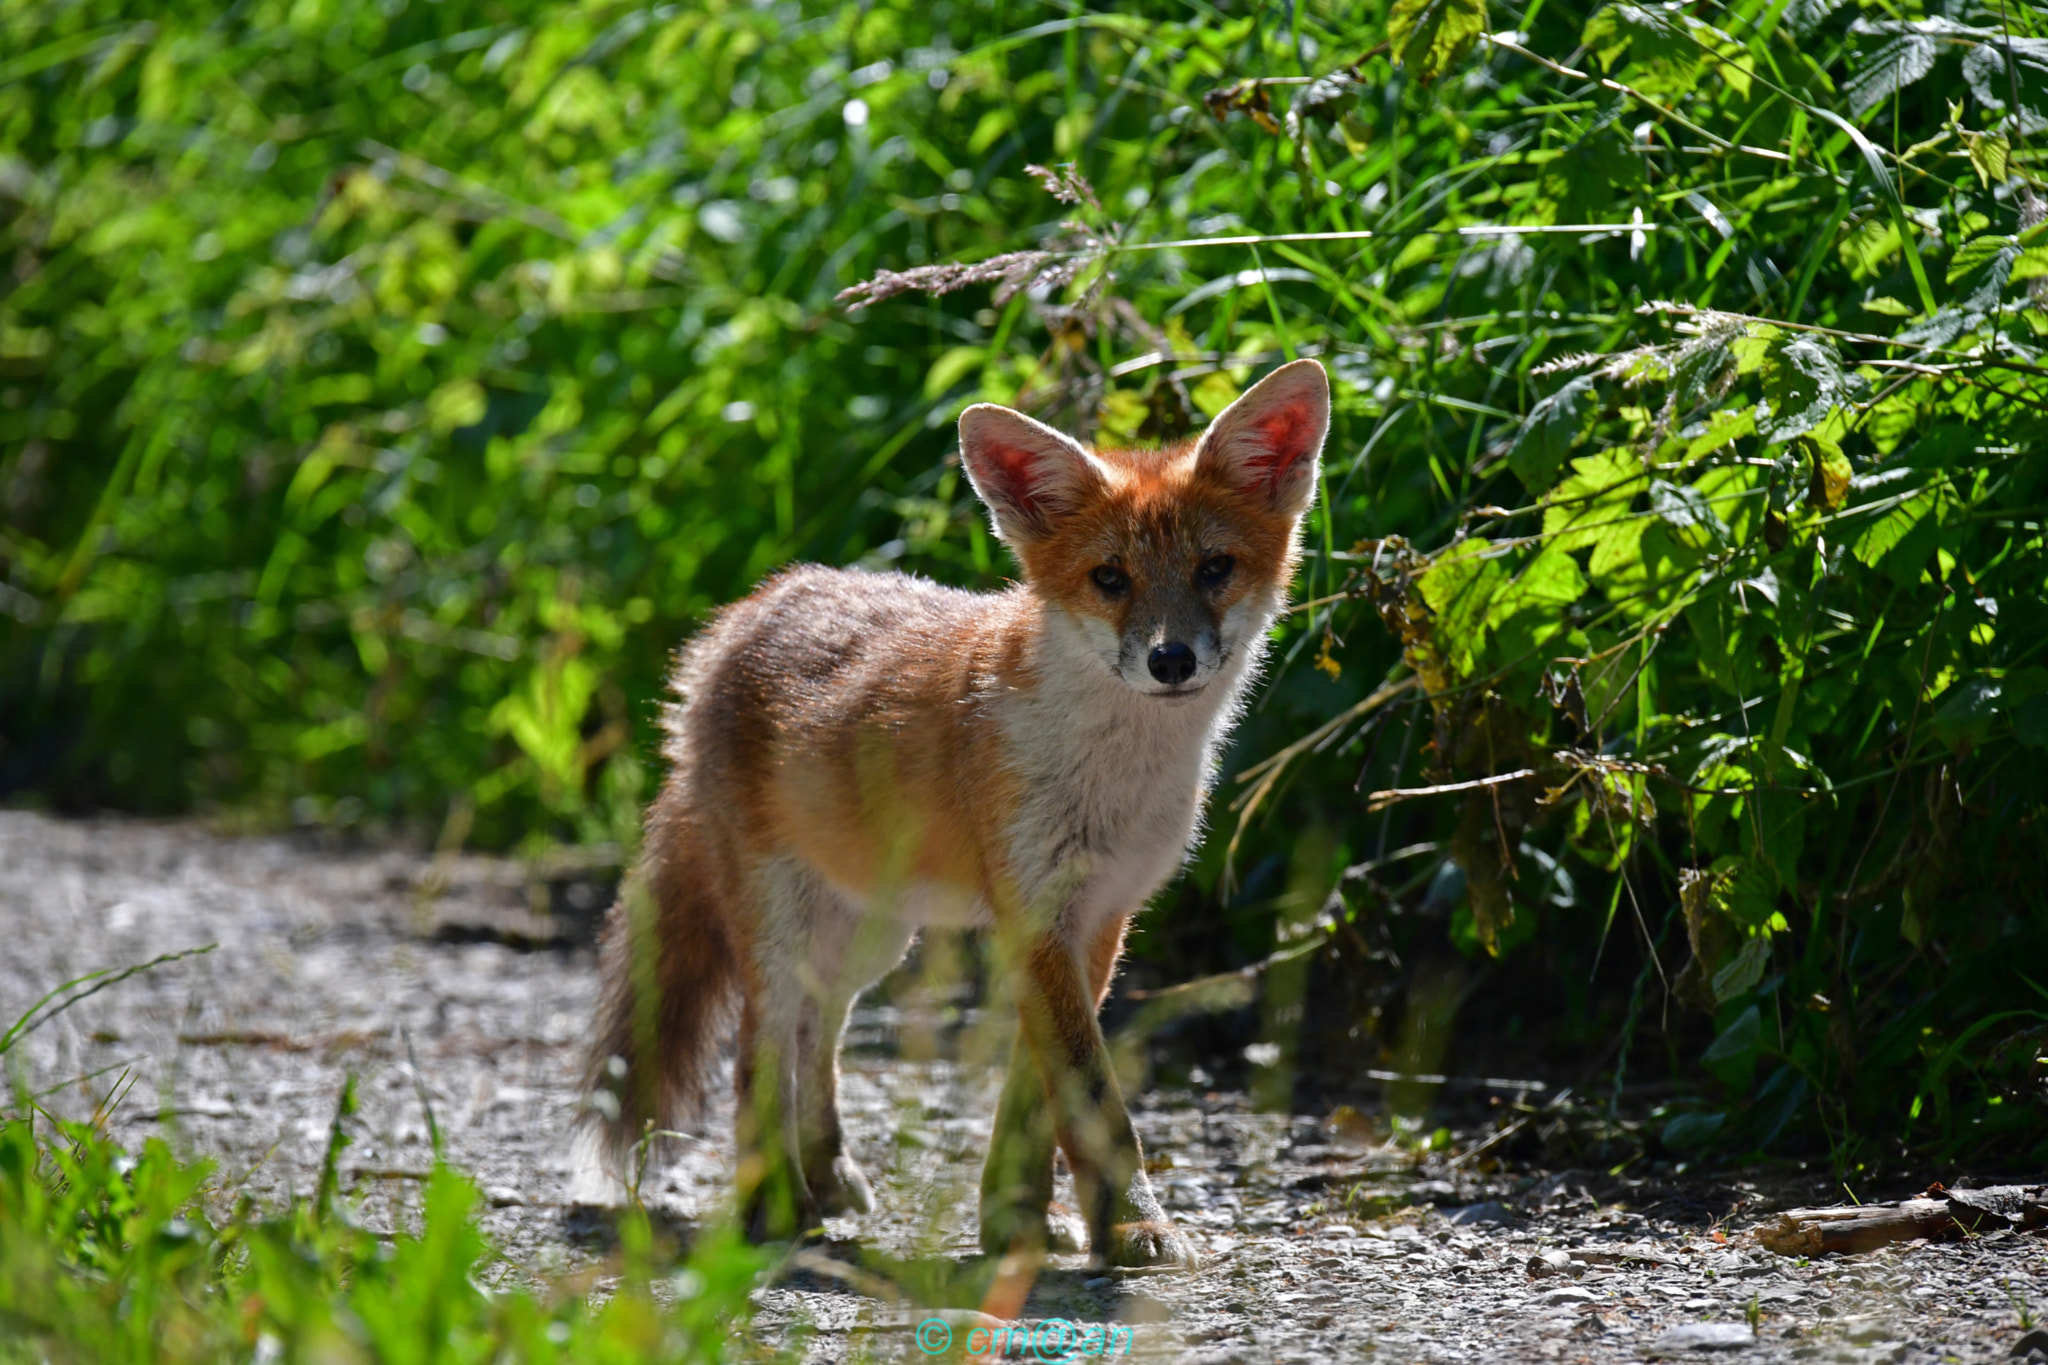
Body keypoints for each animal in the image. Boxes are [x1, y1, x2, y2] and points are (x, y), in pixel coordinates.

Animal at [583, 358, 1330, 1269]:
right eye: (1110, 578)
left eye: (1214, 568)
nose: (1171, 659)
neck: (1116, 777)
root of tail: (742, 617)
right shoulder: (1035, 908)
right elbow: (1090, 1094)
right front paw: (1130, 1225)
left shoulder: (1098, 915)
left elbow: (1033, 1094)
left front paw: (1019, 1221)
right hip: (781, 921)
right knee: (759, 1045)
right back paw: (777, 1205)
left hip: (871, 937)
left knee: (816, 1028)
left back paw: (827, 1170)